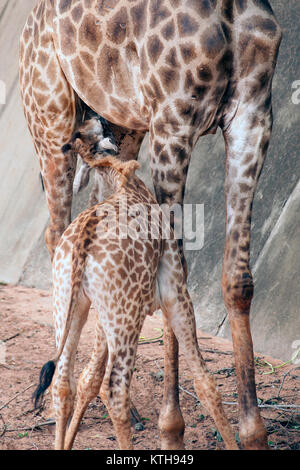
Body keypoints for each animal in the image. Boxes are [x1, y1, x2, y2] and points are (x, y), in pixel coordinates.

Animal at [32, 133, 238, 452]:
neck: (121, 181)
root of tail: (83, 239)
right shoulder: (176, 289)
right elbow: (205, 381)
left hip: (70, 301)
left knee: (62, 381)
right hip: (126, 316)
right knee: (115, 389)